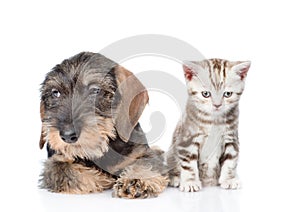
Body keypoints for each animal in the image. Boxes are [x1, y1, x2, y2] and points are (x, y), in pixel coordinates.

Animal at [38, 51, 168, 199]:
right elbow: (65, 170)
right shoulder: (55, 161)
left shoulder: (143, 153)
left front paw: (135, 180)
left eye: (95, 90)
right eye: (55, 93)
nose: (67, 135)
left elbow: (147, 163)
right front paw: (102, 178)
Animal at [168, 58, 250, 192]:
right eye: (206, 94)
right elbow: (189, 163)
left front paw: (229, 179)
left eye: (227, 94)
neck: (214, 120)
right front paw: (190, 182)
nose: (217, 105)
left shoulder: (231, 138)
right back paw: (175, 178)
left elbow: (231, 160)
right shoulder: (187, 140)